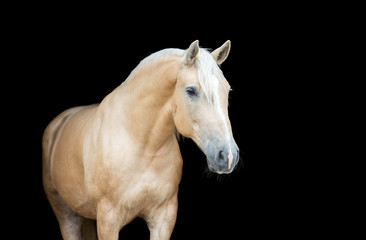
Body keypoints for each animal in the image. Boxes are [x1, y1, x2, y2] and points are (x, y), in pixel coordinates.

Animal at [42, 40, 240, 239]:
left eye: (227, 90)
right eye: (190, 90)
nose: (228, 156)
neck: (143, 145)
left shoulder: (164, 217)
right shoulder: (108, 220)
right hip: (66, 214)